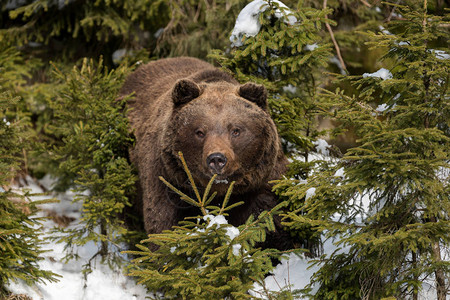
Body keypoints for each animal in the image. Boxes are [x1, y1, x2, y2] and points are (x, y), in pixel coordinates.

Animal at [119, 57, 288, 247]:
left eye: (236, 130)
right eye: (199, 132)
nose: (217, 159)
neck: (218, 193)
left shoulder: (261, 185)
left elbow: (270, 224)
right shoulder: (167, 181)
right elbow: (163, 227)